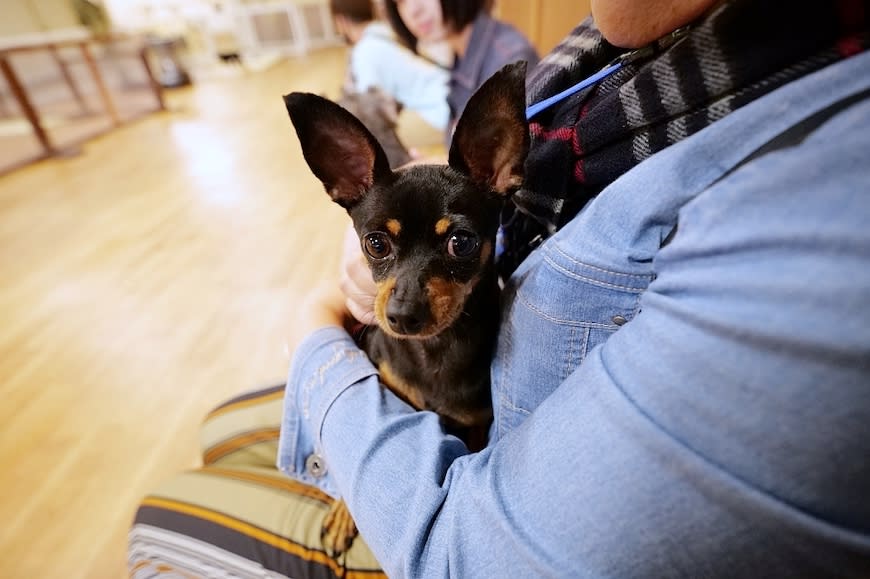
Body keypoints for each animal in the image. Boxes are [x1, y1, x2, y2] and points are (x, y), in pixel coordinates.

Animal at [286, 61, 532, 556]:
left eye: (462, 243)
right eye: (375, 243)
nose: (402, 315)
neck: (430, 351)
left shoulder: (475, 428)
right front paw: (343, 513)